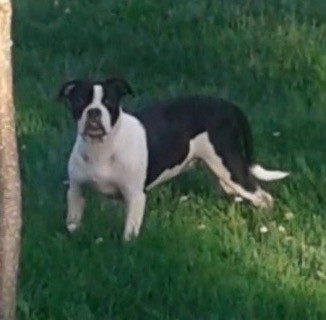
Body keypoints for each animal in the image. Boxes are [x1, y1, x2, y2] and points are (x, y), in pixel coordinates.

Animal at [58, 78, 288, 240]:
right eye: (80, 101)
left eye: (108, 102)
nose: (94, 112)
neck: (102, 148)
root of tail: (231, 107)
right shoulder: (76, 191)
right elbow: (72, 222)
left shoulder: (135, 197)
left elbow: (129, 234)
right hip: (221, 171)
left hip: (230, 167)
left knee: (263, 197)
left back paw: (263, 223)